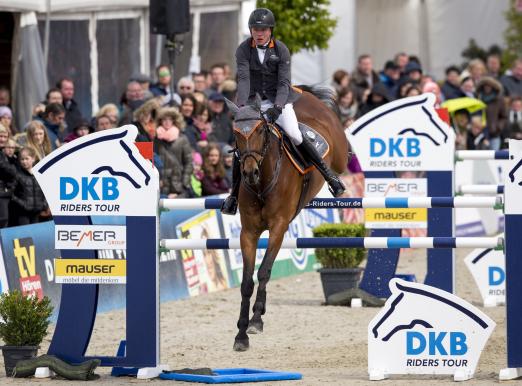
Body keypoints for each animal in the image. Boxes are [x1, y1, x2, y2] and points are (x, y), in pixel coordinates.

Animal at [224, 86, 350, 352]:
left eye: (260, 130)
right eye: (237, 133)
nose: (249, 173)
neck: (262, 182)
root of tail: (304, 92)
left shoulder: (278, 227)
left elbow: (264, 272)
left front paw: (256, 320)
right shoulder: (248, 233)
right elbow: (247, 282)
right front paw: (241, 334)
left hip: (340, 156)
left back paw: (337, 181)